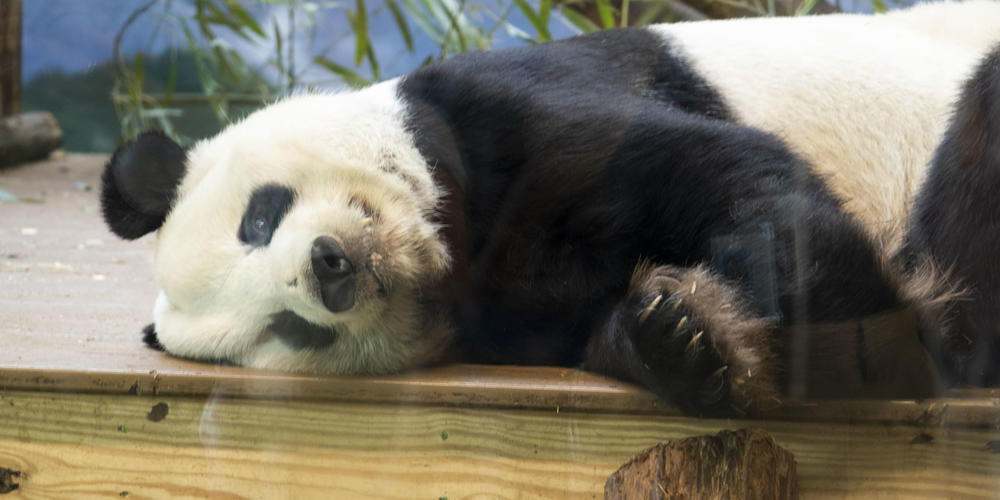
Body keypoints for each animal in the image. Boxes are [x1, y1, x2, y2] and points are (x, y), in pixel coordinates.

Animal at [99, 3, 1000, 416]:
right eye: (288, 330)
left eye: (260, 217)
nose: (330, 269)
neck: (449, 247)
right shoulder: (513, 319)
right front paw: (681, 337)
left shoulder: (508, 112)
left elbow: (725, 171)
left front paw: (872, 334)